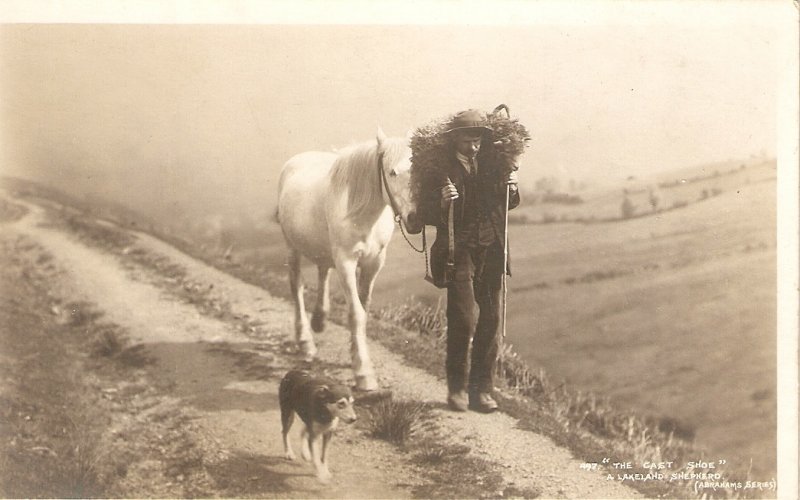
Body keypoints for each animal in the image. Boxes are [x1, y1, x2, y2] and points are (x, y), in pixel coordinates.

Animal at [276, 130, 418, 390]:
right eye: (391, 172)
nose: (415, 218)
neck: (363, 214)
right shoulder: (346, 261)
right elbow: (356, 313)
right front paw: (363, 373)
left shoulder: (374, 263)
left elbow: (364, 306)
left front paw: (355, 357)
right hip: (292, 247)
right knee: (296, 287)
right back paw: (305, 342)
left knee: (322, 271)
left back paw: (320, 319)